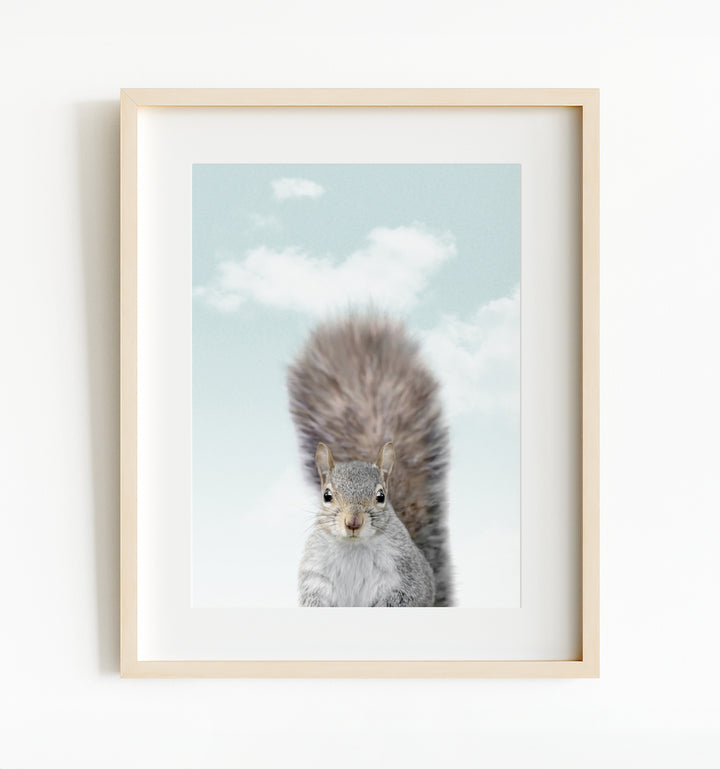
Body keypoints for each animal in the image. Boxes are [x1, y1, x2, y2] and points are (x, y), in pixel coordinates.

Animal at [287, 314, 453, 607]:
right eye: (327, 496)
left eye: (381, 496)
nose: (353, 522)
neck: (354, 547)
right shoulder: (316, 577)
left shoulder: (406, 579)